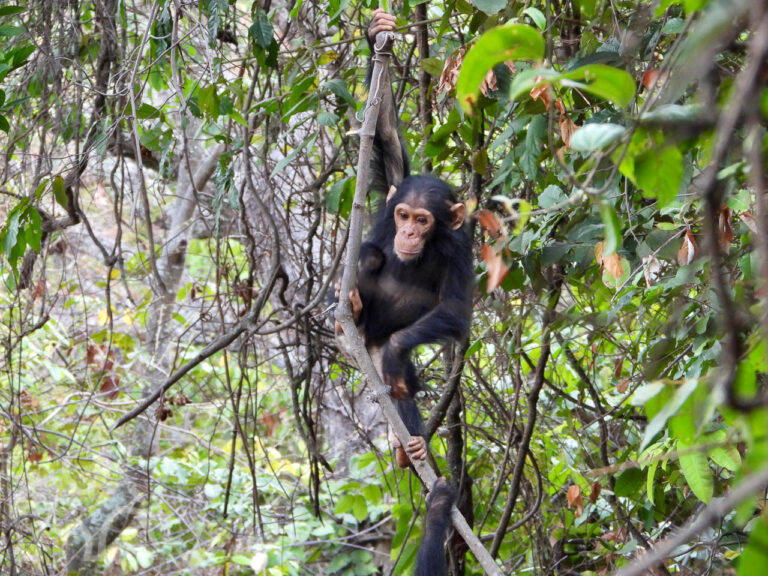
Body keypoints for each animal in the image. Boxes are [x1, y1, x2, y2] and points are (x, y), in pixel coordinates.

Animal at [352, 10, 474, 468]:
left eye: (423, 221)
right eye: (403, 215)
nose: (406, 232)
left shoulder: (461, 249)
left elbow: (453, 308)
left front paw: (399, 350)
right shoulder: (395, 187)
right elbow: (384, 133)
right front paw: (377, 31)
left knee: (396, 373)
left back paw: (412, 448)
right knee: (367, 257)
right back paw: (349, 309)